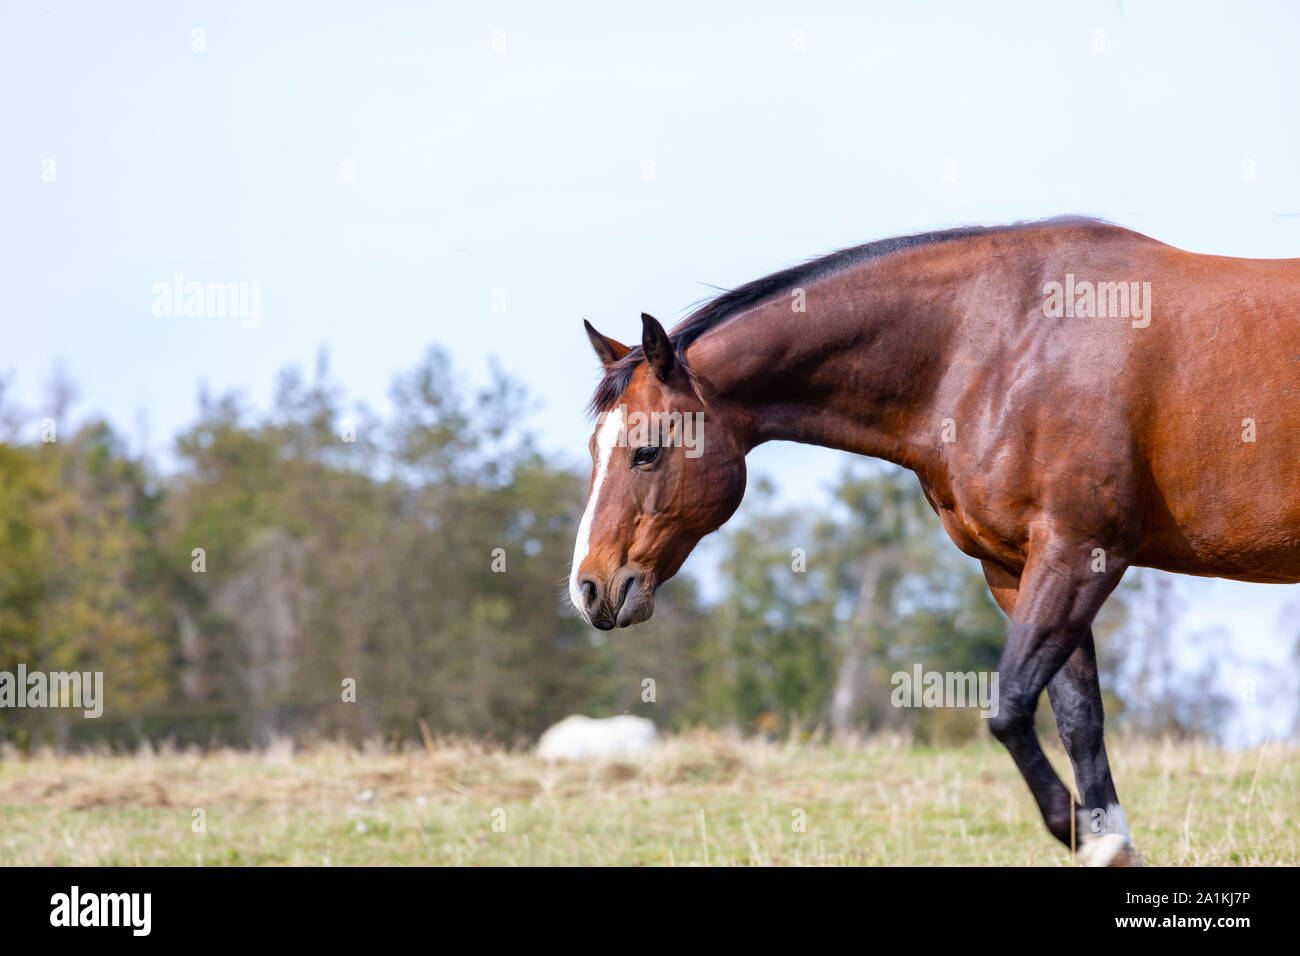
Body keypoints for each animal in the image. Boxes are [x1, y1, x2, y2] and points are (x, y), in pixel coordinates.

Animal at [569, 216, 1300, 865]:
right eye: (594, 449)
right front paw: (1110, 846)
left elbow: (1011, 709)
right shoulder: (1016, 569)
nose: (589, 587)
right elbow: (1078, 720)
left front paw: (1084, 837)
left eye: (646, 451)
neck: (1000, 344)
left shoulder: (1080, 555)